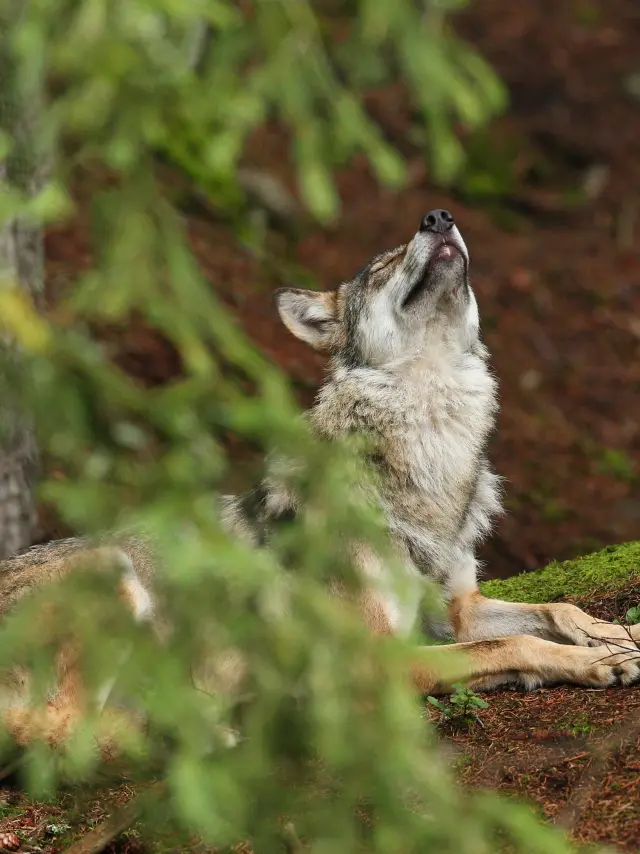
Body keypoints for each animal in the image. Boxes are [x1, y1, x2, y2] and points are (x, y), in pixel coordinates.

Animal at [0, 208, 638, 752]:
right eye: (381, 267)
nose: (438, 217)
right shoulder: (377, 656)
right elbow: (512, 643)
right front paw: (595, 663)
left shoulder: (456, 609)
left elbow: (556, 609)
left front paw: (615, 636)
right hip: (111, 571)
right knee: (63, 733)